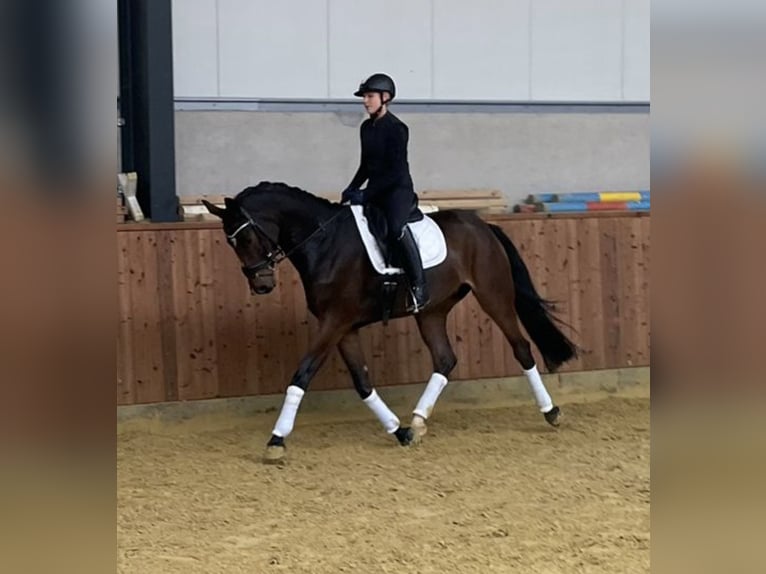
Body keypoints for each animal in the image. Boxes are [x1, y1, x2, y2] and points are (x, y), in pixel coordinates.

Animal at [204, 181, 576, 464]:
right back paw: (419, 420)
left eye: (246, 238)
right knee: (445, 359)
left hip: (493, 295)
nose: (262, 285)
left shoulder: (334, 322)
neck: (325, 242)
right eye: (230, 242)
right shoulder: (344, 327)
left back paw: (551, 411)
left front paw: (276, 440)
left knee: (521, 348)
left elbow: (302, 375)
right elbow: (362, 383)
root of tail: (483, 227)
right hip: (431, 311)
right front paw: (401, 431)